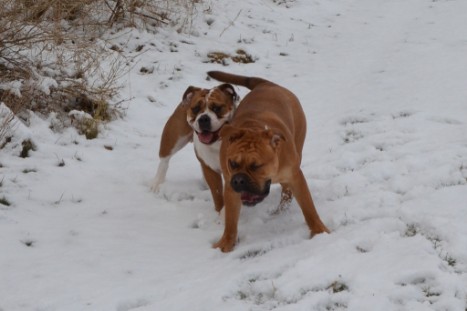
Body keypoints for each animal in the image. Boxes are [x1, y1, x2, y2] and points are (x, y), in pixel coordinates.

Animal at [152, 83, 239, 212]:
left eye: (216, 108)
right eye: (196, 109)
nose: (203, 118)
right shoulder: (210, 168)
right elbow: (217, 193)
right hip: (174, 137)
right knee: (164, 160)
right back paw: (157, 183)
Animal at [208, 70, 330, 251]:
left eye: (256, 166)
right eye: (233, 164)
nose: (239, 180)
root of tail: (267, 84)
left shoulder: (296, 177)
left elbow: (309, 209)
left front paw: (320, 231)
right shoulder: (230, 189)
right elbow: (230, 221)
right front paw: (225, 244)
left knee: (287, 191)